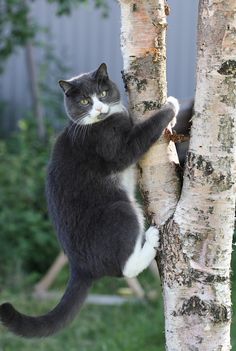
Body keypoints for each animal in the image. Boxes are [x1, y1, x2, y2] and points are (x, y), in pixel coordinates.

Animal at [0, 63, 179, 338]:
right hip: (119, 210)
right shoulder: (112, 147)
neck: (100, 122)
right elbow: (140, 137)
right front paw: (170, 106)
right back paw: (150, 240)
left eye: (103, 93)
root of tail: (80, 266)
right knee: (123, 268)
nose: (98, 108)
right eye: (84, 101)